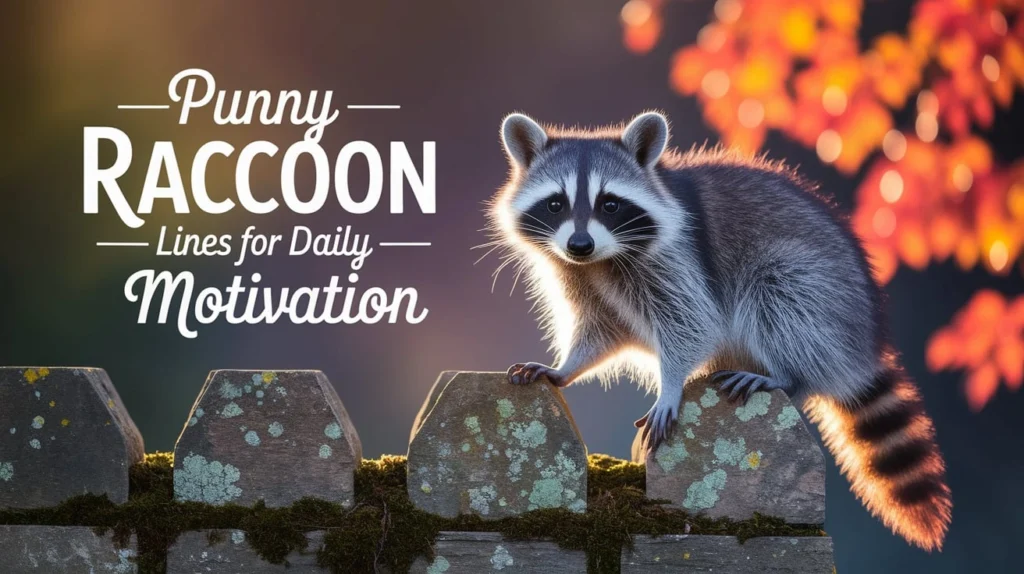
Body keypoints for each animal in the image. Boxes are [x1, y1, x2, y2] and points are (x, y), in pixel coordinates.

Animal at [485, 111, 952, 551]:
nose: (579, 245)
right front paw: (567, 366)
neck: (602, 260)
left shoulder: (678, 257)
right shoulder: (578, 274)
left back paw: (787, 374)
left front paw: (671, 383)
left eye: (610, 204)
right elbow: (602, 329)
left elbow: (693, 323)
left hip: (825, 293)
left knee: (781, 292)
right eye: (555, 204)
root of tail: (865, 341)